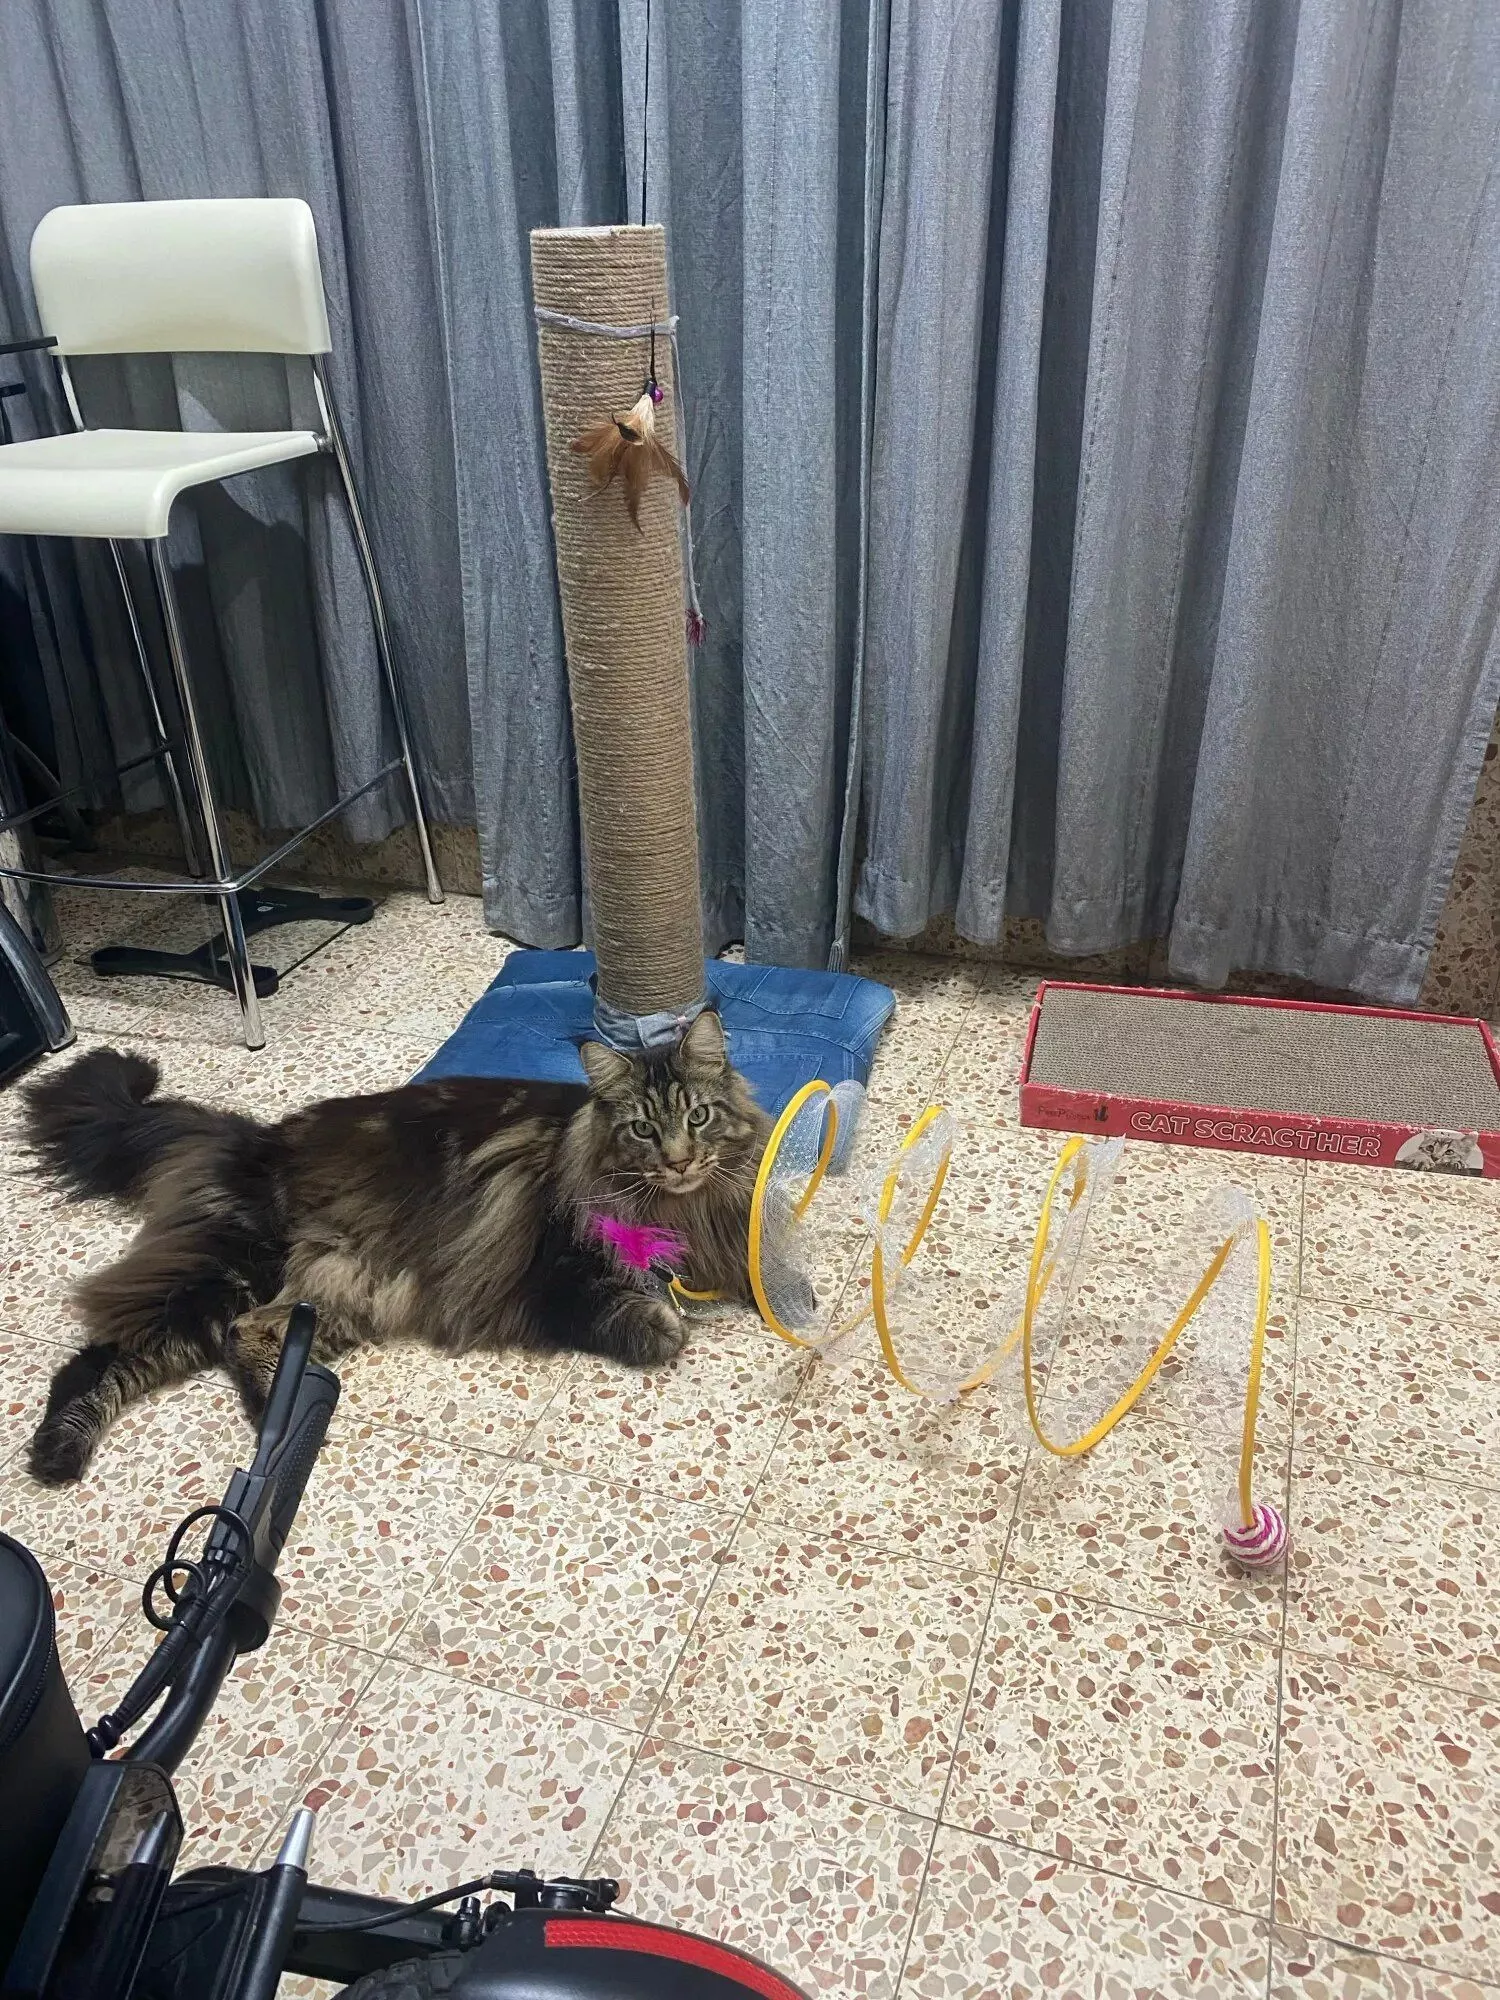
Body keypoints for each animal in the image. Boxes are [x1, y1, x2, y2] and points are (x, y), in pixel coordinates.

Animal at [21, 1008, 771, 1486]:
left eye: (698, 1117)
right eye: (644, 1130)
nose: (678, 1161)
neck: (678, 1205)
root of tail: (259, 1136)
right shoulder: (553, 1273)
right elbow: (631, 1314)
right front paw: (664, 1327)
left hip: (331, 1292)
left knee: (241, 1335)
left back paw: (279, 1414)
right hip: (237, 1270)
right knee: (111, 1356)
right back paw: (63, 1452)